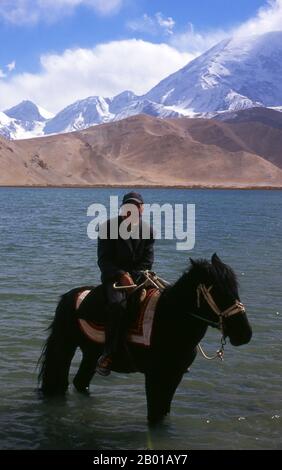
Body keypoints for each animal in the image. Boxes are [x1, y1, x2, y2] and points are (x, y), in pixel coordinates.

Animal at [38, 255, 252, 424]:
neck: (168, 319)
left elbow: (163, 413)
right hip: (65, 346)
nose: (245, 334)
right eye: (218, 291)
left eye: (235, 287)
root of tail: (69, 296)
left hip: (91, 353)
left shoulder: (175, 375)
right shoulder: (155, 375)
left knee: (80, 382)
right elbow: (155, 416)